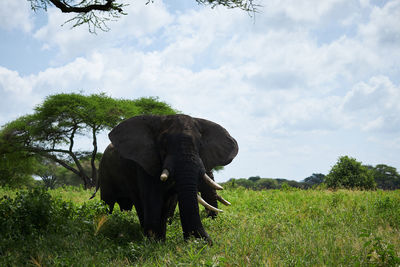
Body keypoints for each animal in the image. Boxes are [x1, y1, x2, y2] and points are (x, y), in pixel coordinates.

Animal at [92, 114, 238, 244]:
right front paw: (153, 241)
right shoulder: (145, 163)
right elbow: (152, 197)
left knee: (125, 205)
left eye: (200, 144)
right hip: (105, 172)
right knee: (108, 203)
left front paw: (160, 240)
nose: (205, 241)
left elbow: (168, 202)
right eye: (163, 144)